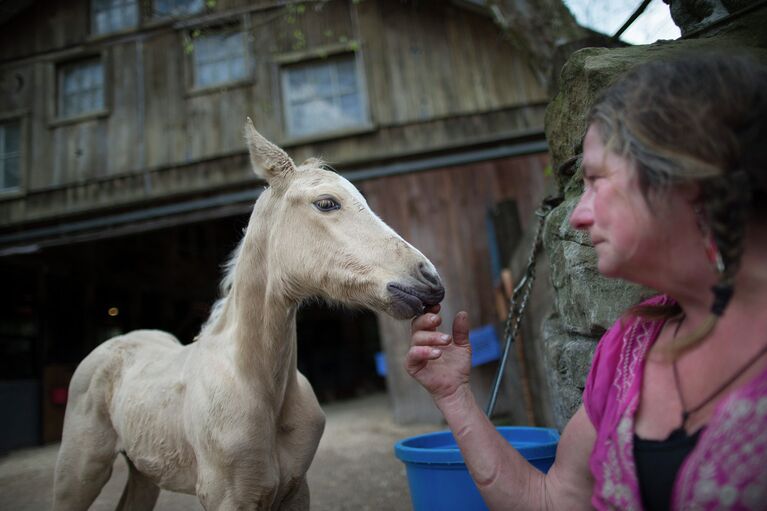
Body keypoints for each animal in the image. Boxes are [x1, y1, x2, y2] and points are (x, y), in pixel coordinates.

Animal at [52, 119, 444, 508]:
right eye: (326, 203)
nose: (431, 281)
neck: (258, 387)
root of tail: (113, 346)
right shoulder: (229, 499)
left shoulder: (296, 491)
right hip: (79, 474)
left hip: (144, 473)